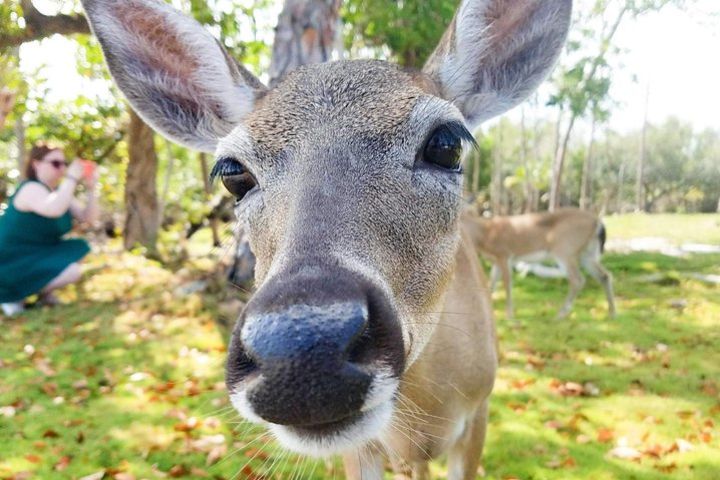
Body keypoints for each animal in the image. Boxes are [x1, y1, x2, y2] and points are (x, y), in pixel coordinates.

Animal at [464, 208, 616, 320]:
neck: (485, 234)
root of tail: (598, 222)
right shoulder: (496, 261)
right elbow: (491, 284)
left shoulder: (505, 255)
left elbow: (507, 284)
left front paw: (509, 316)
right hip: (587, 254)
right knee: (604, 275)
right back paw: (612, 313)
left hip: (565, 249)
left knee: (577, 279)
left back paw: (560, 314)